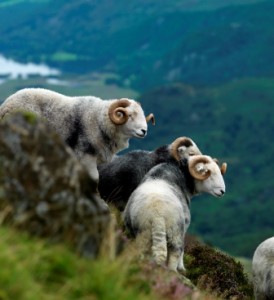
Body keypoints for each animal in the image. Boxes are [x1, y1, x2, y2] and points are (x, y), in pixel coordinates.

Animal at [0, 86, 154, 180]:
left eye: (142, 114)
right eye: (130, 115)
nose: (144, 131)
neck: (99, 119)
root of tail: (5, 105)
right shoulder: (87, 156)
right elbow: (95, 179)